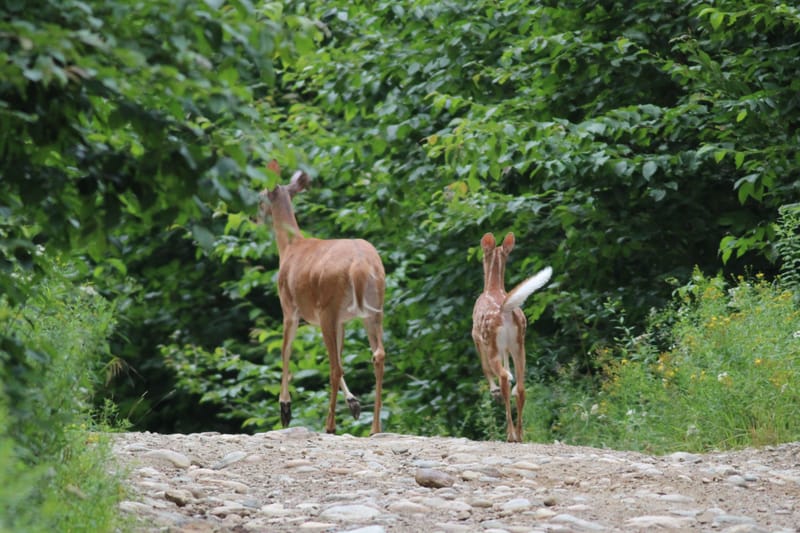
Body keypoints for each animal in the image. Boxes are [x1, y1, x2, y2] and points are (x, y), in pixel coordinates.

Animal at [258, 165, 386, 435]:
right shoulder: (343, 320)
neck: (290, 247)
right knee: (377, 354)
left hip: (328, 307)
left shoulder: (289, 308)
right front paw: (354, 403)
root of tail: (360, 265)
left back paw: (330, 425)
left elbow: (285, 351)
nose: (255, 218)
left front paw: (285, 409)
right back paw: (374, 428)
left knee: (335, 367)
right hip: (373, 308)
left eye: (259, 198)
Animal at [472, 232, 552, 442]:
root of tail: (506, 310)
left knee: (503, 378)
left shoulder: (476, 335)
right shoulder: (507, 347)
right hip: (519, 344)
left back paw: (510, 434)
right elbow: (508, 368)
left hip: (492, 342)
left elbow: (485, 367)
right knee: (521, 387)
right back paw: (520, 434)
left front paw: (493, 392)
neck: (492, 289)